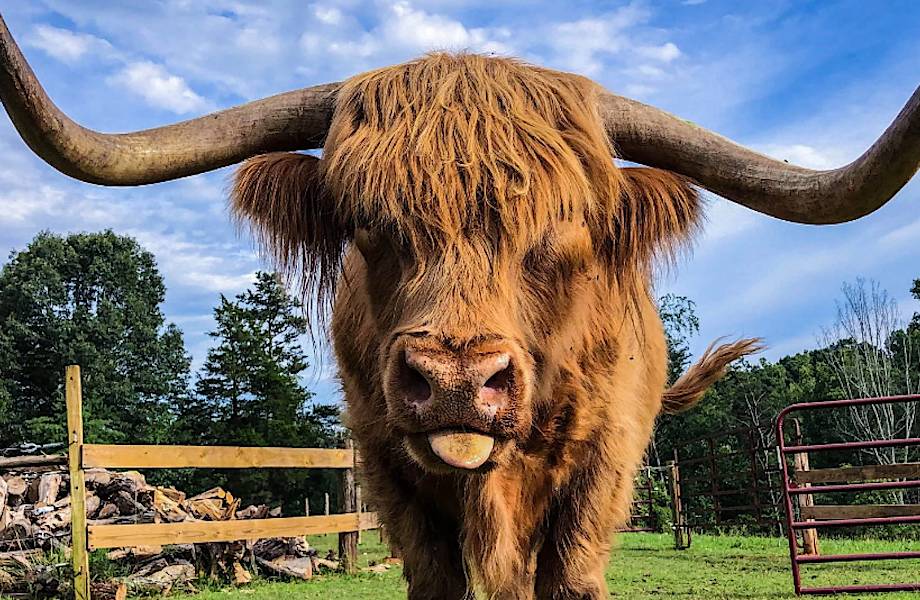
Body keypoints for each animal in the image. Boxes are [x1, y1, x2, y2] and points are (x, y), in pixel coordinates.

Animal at [1, 15, 918, 599]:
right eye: (368, 224)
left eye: (565, 230)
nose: (454, 381)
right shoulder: (388, 471)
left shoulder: (604, 467)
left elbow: (570, 578)